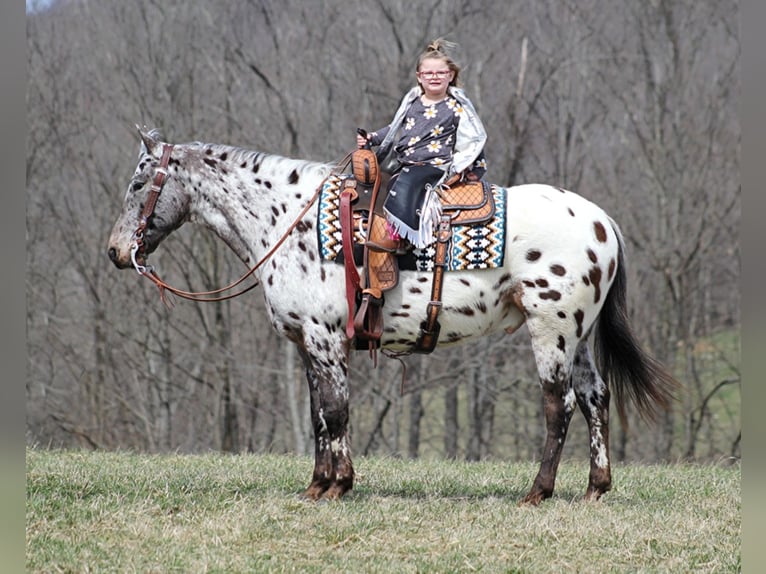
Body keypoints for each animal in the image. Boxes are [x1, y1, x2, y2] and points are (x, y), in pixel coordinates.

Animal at [106, 128, 680, 506]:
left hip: (552, 329)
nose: (115, 251)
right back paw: (595, 489)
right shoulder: (308, 345)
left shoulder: (324, 339)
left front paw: (338, 485)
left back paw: (538, 492)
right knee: (595, 398)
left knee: (558, 405)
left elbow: (336, 412)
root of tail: (602, 222)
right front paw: (317, 484)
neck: (287, 219)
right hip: (578, 336)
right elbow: (318, 413)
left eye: (137, 184)